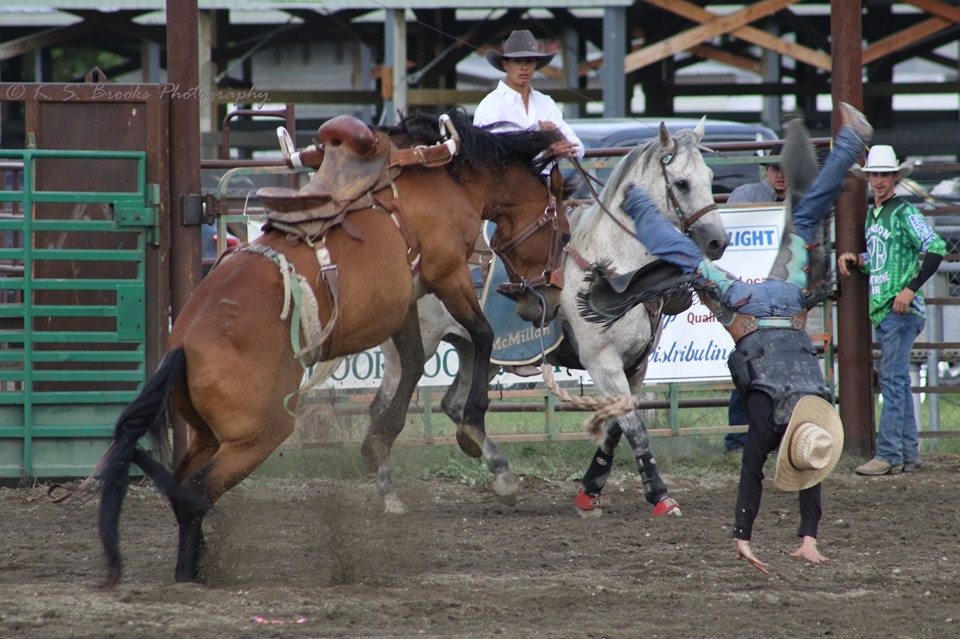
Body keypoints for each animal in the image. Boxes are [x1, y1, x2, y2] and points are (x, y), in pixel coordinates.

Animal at [95, 107, 568, 588]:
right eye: (565, 235)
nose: (545, 304)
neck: (446, 176)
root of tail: (183, 348)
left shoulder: (407, 297)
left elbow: (414, 363)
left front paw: (379, 441)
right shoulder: (447, 272)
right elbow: (482, 335)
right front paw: (473, 432)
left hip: (211, 434)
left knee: (182, 485)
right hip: (258, 433)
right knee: (194, 492)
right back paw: (189, 574)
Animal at [362, 120, 728, 516]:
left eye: (710, 177)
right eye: (682, 183)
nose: (718, 241)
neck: (614, 267)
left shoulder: (635, 366)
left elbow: (617, 428)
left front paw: (590, 491)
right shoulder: (603, 362)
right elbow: (634, 428)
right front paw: (660, 495)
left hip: (475, 351)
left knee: (454, 404)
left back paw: (501, 476)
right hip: (411, 349)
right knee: (381, 406)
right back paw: (387, 491)